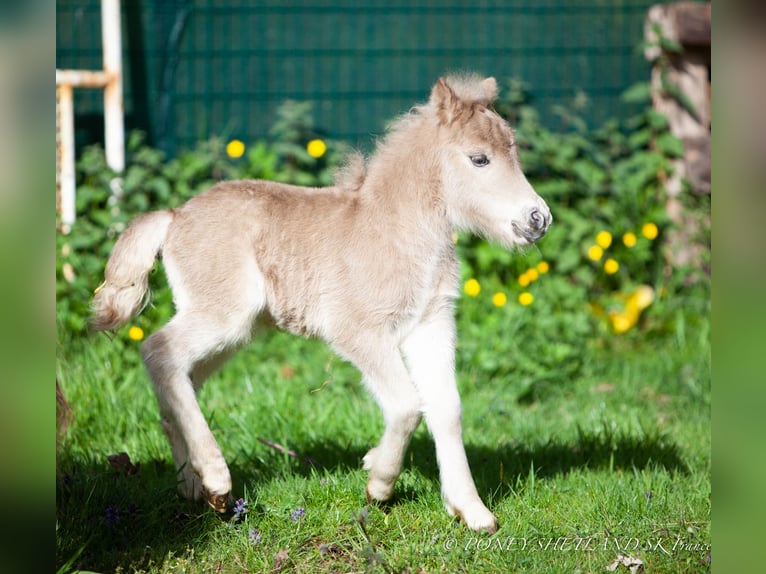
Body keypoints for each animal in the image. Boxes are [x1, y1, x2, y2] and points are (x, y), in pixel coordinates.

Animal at [93, 74, 552, 532]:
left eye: (513, 151)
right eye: (479, 159)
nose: (538, 219)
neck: (397, 231)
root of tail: (175, 215)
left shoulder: (430, 325)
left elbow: (447, 408)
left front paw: (472, 511)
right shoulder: (358, 331)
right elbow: (407, 404)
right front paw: (378, 481)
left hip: (233, 331)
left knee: (179, 377)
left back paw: (193, 485)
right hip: (222, 316)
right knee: (157, 350)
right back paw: (218, 480)